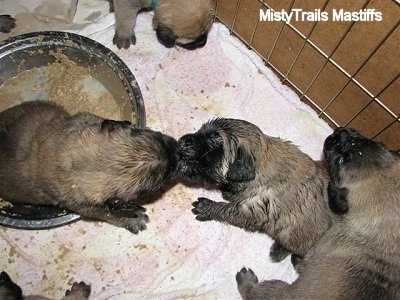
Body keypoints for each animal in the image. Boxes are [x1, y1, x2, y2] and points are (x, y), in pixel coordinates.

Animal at [0, 101, 178, 232]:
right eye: (162, 178)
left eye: (158, 135)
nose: (178, 152)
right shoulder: (84, 206)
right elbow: (108, 213)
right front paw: (131, 217)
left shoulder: (81, 119)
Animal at [177, 118, 336, 262]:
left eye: (214, 140)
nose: (182, 141)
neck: (260, 166)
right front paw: (228, 193)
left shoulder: (254, 208)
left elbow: (228, 210)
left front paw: (207, 207)